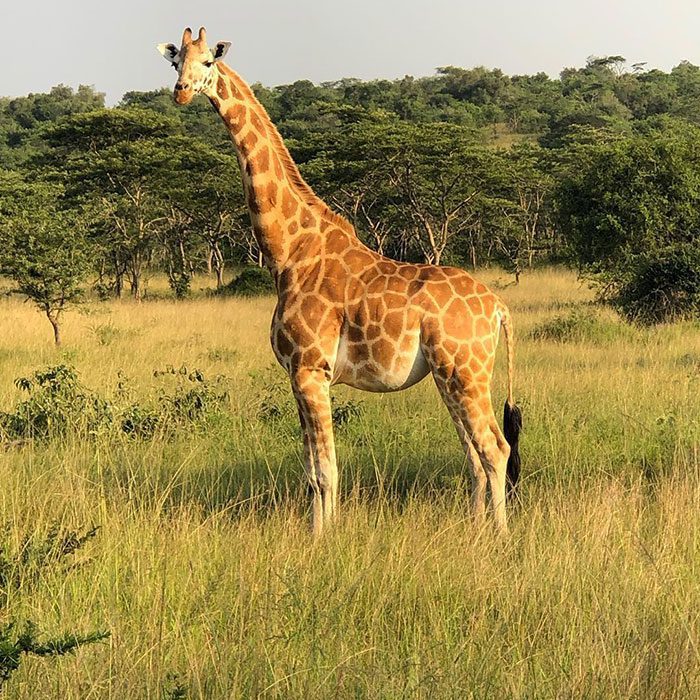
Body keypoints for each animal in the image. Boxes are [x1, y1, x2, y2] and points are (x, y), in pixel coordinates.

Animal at [158, 27, 523, 536]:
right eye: (176, 63)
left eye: (209, 61)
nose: (182, 92)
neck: (289, 252)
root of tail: (498, 308)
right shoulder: (301, 373)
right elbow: (314, 468)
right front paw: (321, 533)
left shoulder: (310, 367)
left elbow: (324, 471)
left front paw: (319, 540)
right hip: (451, 376)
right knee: (474, 454)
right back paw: (474, 530)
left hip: (465, 370)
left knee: (496, 448)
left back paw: (500, 536)